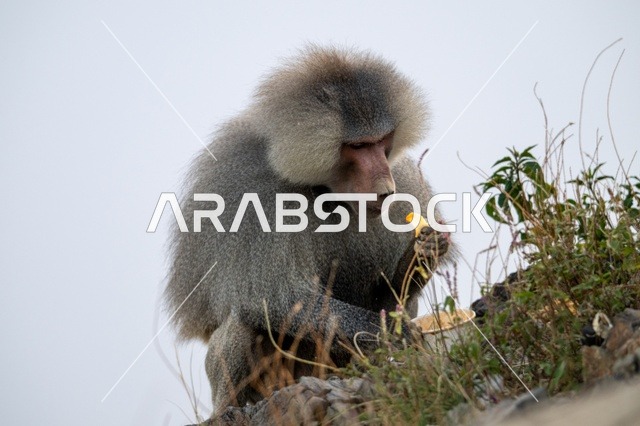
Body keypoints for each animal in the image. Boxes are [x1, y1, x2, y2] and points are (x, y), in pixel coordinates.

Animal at [165, 45, 453, 416]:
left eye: (381, 142)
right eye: (357, 147)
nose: (385, 188)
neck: (325, 191)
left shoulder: (404, 178)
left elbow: (391, 297)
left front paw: (423, 254)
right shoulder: (252, 193)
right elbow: (275, 299)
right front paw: (393, 333)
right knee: (245, 321)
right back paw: (230, 410)